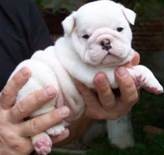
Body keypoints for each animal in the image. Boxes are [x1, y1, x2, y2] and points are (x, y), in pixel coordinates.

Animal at [9, 0, 163, 154]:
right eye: (86, 36)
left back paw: (42, 142)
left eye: (119, 29)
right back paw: (54, 127)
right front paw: (134, 74)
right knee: (39, 115)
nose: (105, 41)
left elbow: (143, 68)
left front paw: (152, 83)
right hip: (38, 83)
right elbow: (117, 70)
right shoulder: (93, 72)